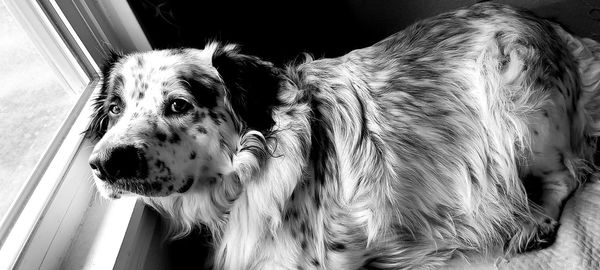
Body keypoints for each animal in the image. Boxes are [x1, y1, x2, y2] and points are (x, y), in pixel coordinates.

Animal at [86, 2, 596, 270]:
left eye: (178, 105)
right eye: (114, 109)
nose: (104, 163)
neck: (249, 177)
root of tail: (552, 26)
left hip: (514, 99)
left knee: (566, 176)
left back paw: (534, 223)